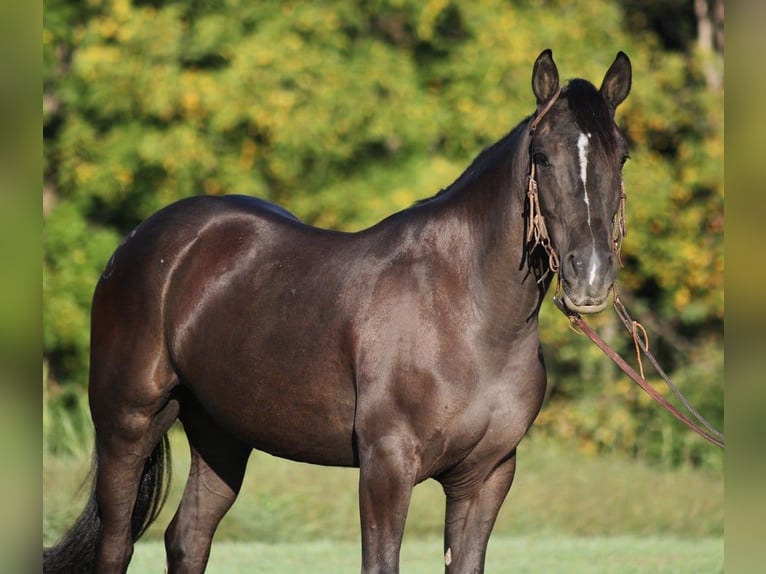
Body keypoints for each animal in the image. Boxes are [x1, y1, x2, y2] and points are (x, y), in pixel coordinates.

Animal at [44, 49, 632, 574]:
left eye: (620, 156)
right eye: (543, 156)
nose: (591, 276)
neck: (467, 313)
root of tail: (139, 244)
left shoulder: (485, 476)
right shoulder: (385, 466)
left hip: (220, 435)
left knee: (187, 538)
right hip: (127, 424)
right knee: (117, 546)